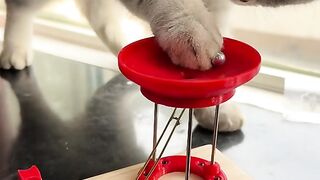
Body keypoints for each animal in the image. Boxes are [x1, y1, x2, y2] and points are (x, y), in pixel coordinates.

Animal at [0, 0, 316, 132]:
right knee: (20, 9)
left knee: (97, 14)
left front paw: (217, 107)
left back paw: (120, 45)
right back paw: (14, 51)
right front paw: (190, 33)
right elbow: (183, 12)